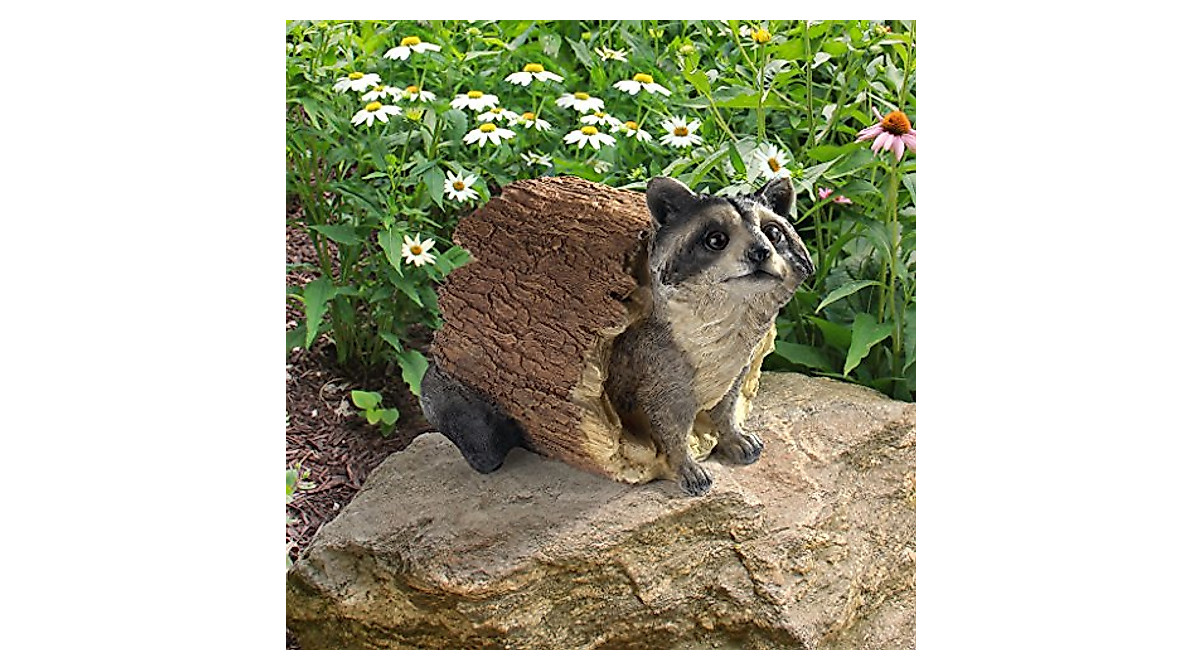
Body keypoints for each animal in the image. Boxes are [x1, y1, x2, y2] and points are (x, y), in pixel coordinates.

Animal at [603, 176, 814, 495]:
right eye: (716, 240)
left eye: (774, 232)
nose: (760, 251)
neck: (731, 316)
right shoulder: (660, 374)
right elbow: (671, 427)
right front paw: (686, 465)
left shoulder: (738, 368)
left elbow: (726, 406)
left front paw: (733, 435)